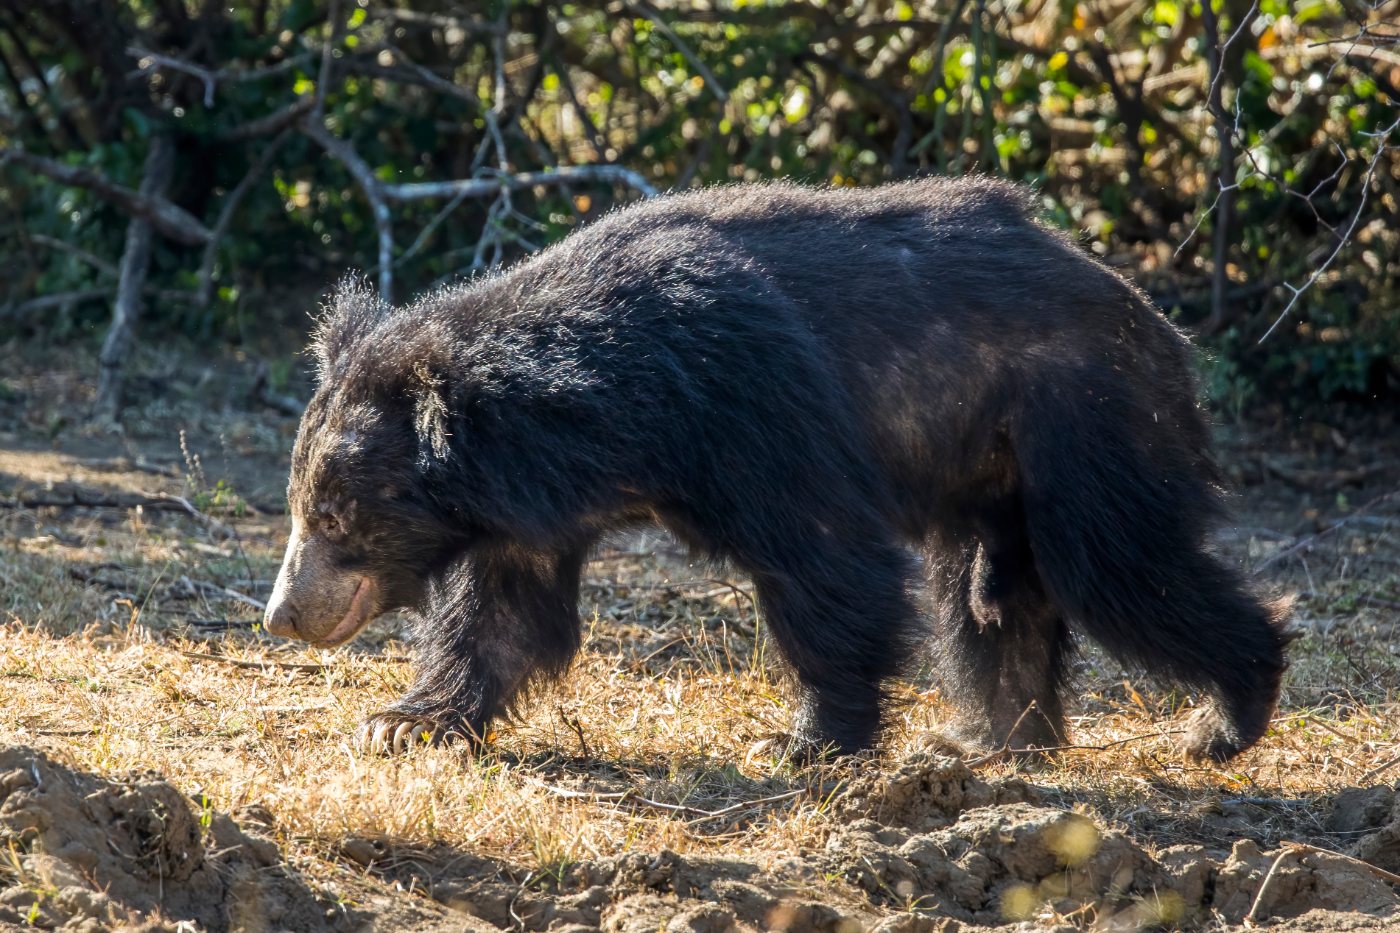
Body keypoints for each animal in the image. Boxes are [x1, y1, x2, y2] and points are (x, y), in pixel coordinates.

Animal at [263, 176, 1291, 761]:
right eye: (301, 507)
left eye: (337, 517)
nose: (282, 616)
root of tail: (1148, 311)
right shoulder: (534, 510)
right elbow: (505, 615)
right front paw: (403, 723)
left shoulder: (752, 397)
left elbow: (825, 560)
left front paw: (806, 740)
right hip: (988, 462)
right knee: (991, 595)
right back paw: (989, 735)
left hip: (1085, 416)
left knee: (1118, 565)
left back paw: (1224, 719)